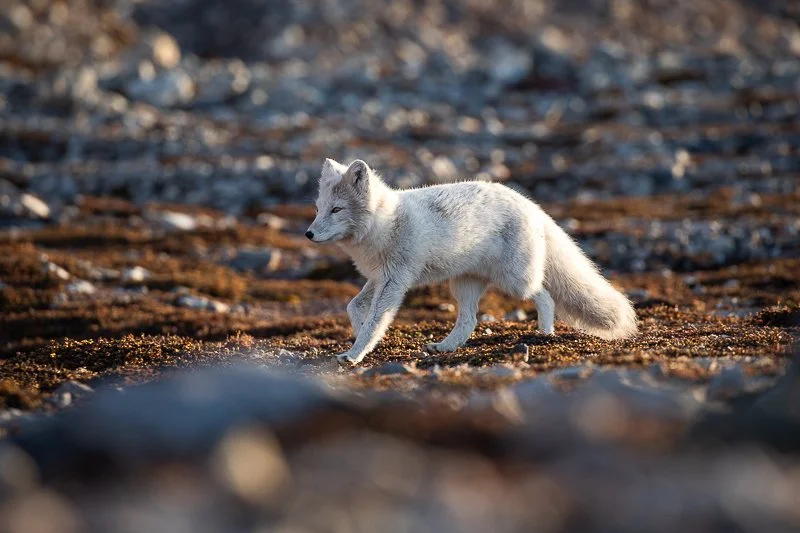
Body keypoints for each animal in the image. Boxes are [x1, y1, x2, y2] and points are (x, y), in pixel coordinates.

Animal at [306, 158, 638, 365]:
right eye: (319, 208)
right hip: (464, 285)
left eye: (337, 209)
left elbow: (376, 319)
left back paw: (544, 333)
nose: (308, 233)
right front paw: (360, 332)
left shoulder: (394, 281)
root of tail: (531, 205)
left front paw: (355, 353)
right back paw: (445, 346)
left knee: (545, 296)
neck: (384, 224)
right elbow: (354, 306)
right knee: (469, 321)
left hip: (514, 282)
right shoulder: (377, 278)